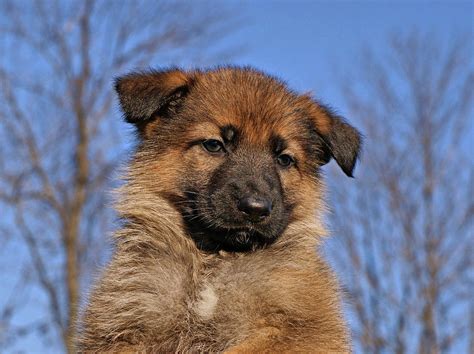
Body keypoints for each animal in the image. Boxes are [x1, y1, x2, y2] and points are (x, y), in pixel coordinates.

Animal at [78, 65, 362, 352]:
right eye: (214, 145)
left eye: (284, 159)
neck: (214, 259)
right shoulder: (125, 326)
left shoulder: (305, 330)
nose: (256, 208)